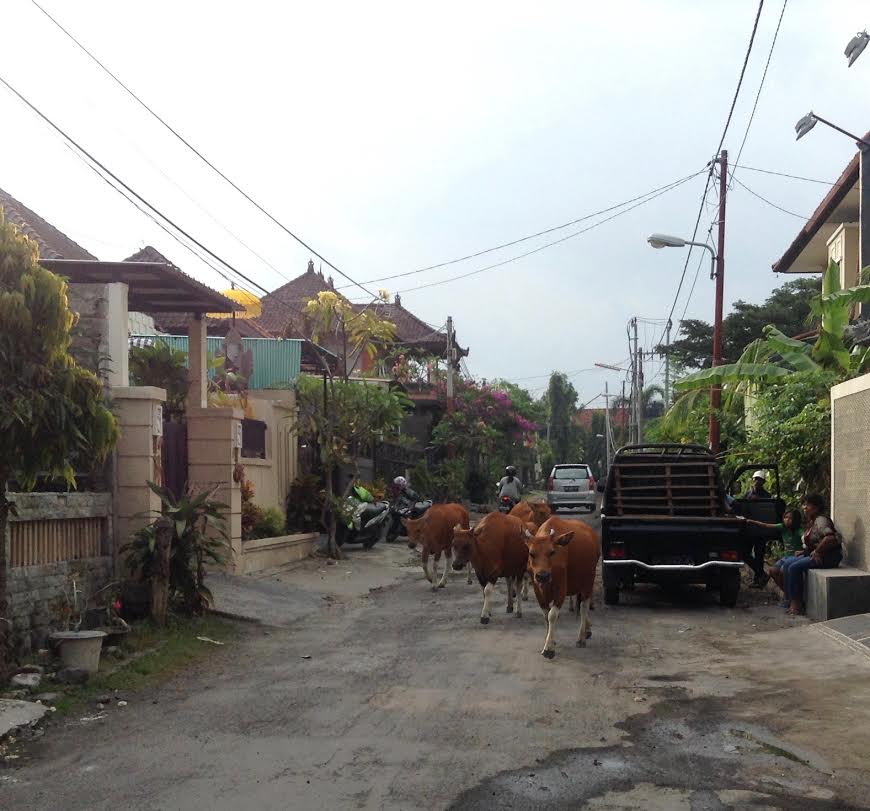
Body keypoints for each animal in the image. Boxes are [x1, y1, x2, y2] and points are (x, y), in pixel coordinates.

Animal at [524, 520, 600, 660]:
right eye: (531, 553)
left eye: (552, 552)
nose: (543, 576)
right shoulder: (538, 590)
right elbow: (546, 615)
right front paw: (549, 639)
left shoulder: (561, 589)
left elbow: (552, 615)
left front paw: (549, 648)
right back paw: (587, 630)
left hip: (589, 581)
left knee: (583, 607)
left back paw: (581, 638)